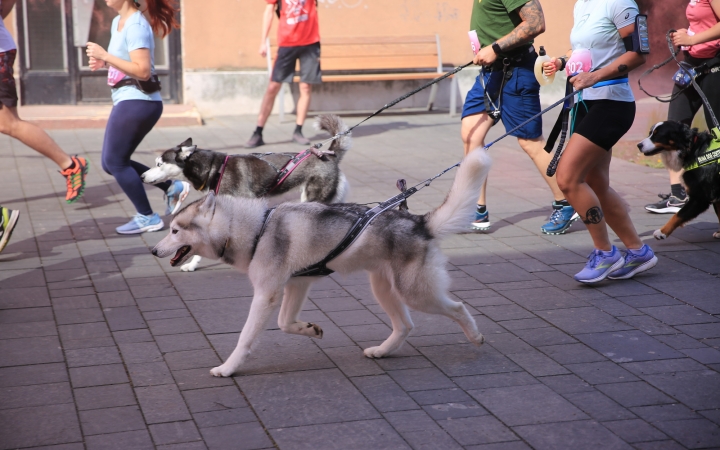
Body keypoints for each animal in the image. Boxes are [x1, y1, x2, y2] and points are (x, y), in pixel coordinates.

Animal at [150, 149, 492, 376]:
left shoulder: (266, 294)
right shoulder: (296, 286)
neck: (255, 228)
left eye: (175, 230)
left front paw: (228, 367)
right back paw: (382, 351)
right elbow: (284, 323)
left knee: (457, 307)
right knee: (405, 326)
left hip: (415, 293)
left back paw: (475, 337)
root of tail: (420, 221)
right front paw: (309, 329)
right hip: (384, 289)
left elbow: (246, 338)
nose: (153, 251)